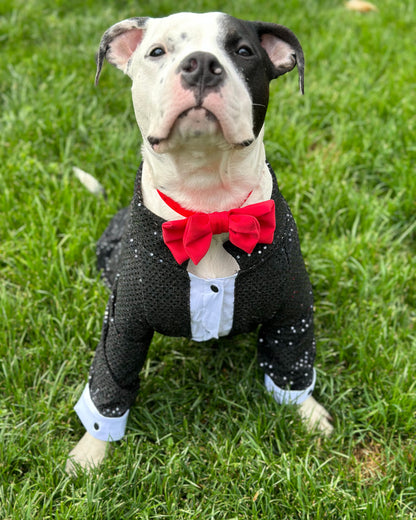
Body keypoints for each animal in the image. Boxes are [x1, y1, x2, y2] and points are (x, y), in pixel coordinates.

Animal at [66, 11, 334, 476]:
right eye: (157, 51)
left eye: (243, 51)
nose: (203, 65)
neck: (207, 205)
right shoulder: (123, 325)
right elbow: (109, 384)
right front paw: (91, 452)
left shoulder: (292, 311)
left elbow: (292, 362)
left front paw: (308, 414)